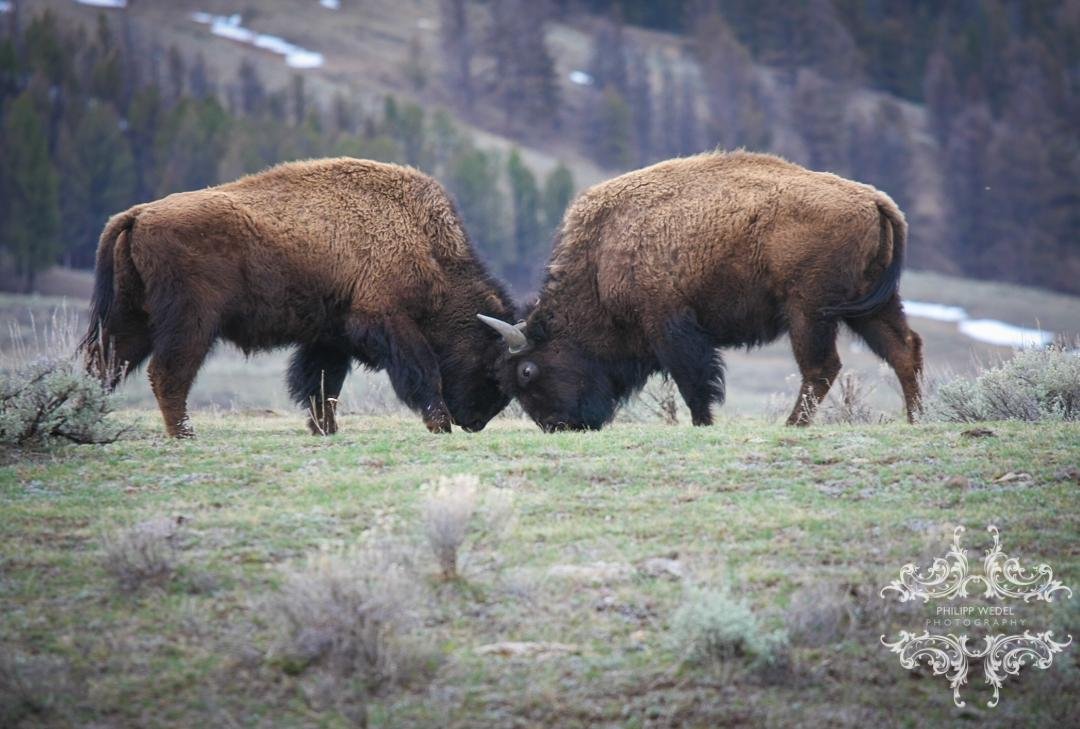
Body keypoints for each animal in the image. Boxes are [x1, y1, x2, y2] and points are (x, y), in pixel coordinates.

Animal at [83, 156, 514, 436]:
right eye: (491, 365)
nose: (473, 422)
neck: (426, 247)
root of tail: (138, 215)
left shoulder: (331, 336)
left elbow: (320, 383)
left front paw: (325, 429)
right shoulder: (387, 321)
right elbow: (422, 371)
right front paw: (438, 423)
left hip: (131, 317)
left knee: (104, 364)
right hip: (191, 322)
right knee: (167, 372)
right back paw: (184, 433)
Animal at [481, 151, 920, 429]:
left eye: (527, 370)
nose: (558, 425)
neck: (601, 257)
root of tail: (873, 199)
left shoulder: (671, 326)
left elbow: (694, 381)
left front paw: (703, 423)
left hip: (810, 311)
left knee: (822, 366)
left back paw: (793, 424)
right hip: (870, 306)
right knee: (904, 349)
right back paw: (915, 418)